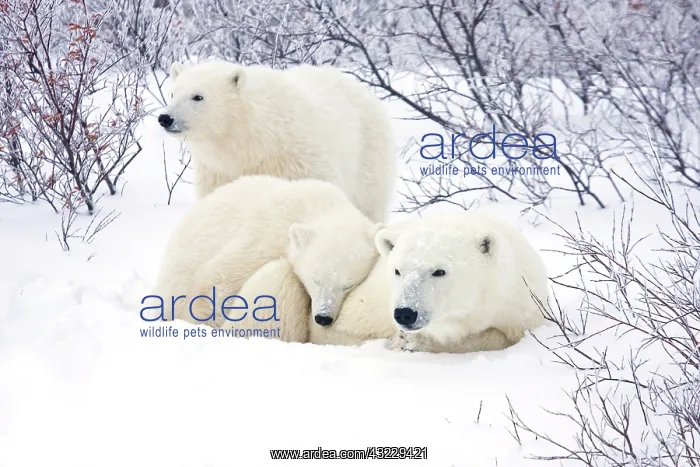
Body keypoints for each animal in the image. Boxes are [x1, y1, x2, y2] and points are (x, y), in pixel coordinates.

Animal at [157, 60, 396, 222]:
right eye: (173, 93)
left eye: (198, 96)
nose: (165, 118)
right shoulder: (219, 172)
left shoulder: (299, 162)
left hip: (367, 155)